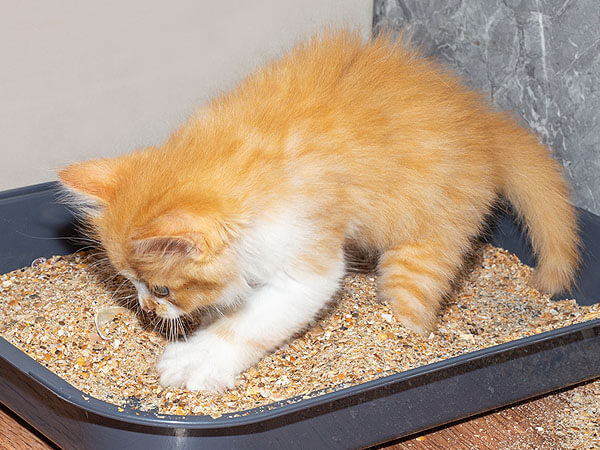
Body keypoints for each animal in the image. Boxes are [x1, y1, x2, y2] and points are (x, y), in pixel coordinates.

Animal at [58, 29, 580, 392]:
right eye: (131, 283)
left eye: (162, 288)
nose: (146, 306)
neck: (239, 159)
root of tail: (485, 123)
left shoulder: (309, 262)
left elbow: (250, 324)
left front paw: (195, 361)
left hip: (424, 242)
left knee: (414, 308)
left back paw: (403, 340)